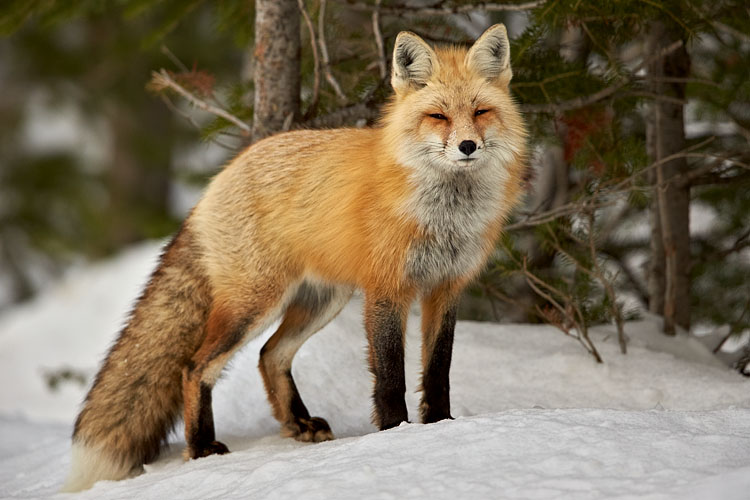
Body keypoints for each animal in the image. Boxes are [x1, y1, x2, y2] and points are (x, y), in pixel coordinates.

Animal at [62, 24, 527, 492]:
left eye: (481, 111)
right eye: (438, 117)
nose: (467, 145)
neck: (445, 215)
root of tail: (218, 179)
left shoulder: (446, 287)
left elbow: (437, 370)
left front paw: (441, 426)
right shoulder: (387, 289)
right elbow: (390, 376)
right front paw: (395, 433)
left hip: (322, 300)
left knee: (270, 355)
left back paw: (298, 423)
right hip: (254, 304)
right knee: (195, 368)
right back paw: (201, 447)